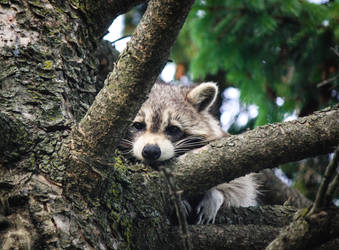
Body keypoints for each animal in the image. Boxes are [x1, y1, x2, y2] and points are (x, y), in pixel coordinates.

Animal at [122, 81, 260, 225]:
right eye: (138, 125)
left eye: (173, 129)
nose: (150, 151)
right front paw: (179, 201)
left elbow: (242, 187)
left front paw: (216, 193)